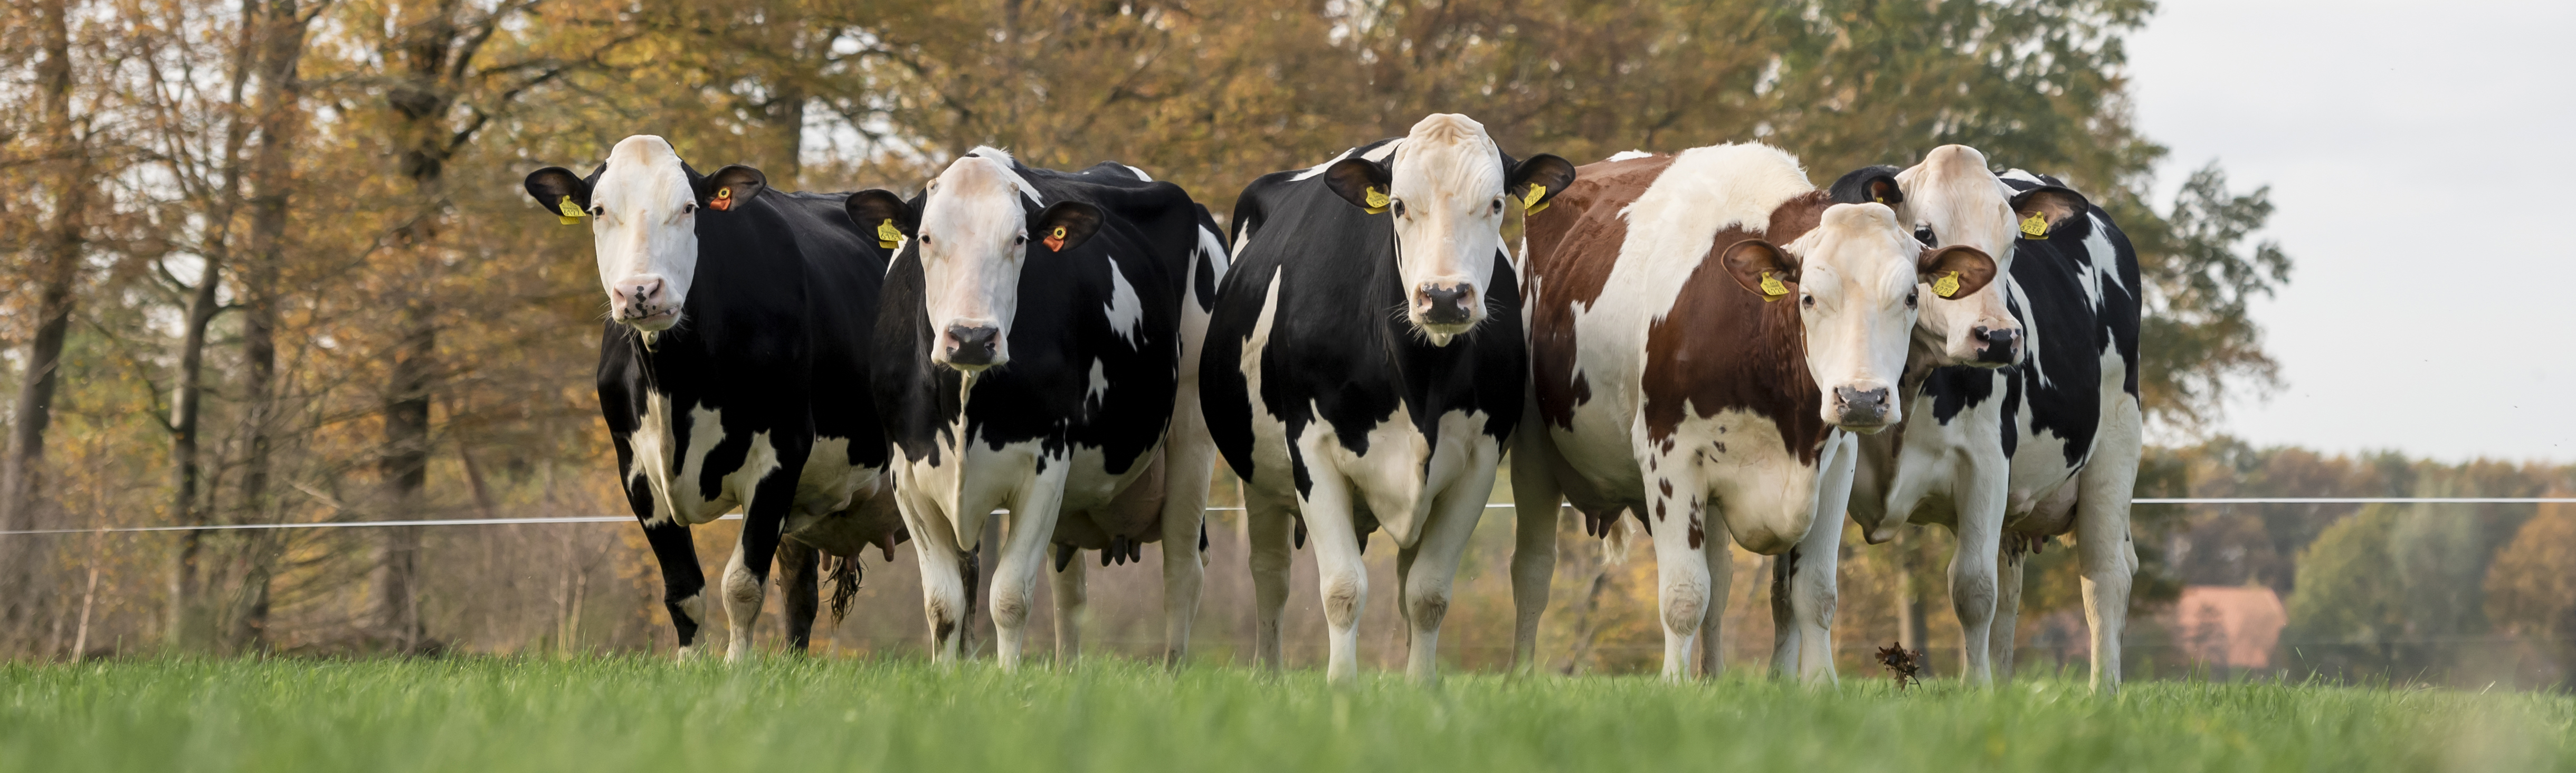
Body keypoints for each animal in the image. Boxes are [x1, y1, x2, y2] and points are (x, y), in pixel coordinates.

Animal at [520, 136, 907, 660]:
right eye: (598, 210)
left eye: (688, 208)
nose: (640, 290)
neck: (676, 386)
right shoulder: (636, 470)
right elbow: (684, 590)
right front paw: (688, 664)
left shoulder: (781, 453)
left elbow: (741, 585)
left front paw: (737, 666)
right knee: (800, 591)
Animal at [844, 148, 1226, 664]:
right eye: (924, 237)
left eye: (1020, 239)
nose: (971, 337)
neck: (963, 406)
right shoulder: (908, 475)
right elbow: (943, 604)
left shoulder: (1045, 468)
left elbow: (1009, 597)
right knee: (1070, 590)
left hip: (1192, 432)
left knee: (1183, 572)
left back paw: (1173, 668)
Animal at [1200, 113, 1566, 680]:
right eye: (1397, 206)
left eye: (1496, 203)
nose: (1443, 296)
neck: (1419, 382)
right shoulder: (1311, 450)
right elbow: (1342, 588)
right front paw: (1341, 685)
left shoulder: (1479, 462)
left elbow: (1428, 594)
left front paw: (1421, 687)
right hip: (1254, 469)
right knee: (1270, 573)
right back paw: (1268, 670)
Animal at [1504, 145, 1999, 680]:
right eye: (1808, 298)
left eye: (1910, 296)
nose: (1863, 398)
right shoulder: (1668, 456)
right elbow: (1683, 595)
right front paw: (1673, 685)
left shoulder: (1834, 464)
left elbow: (1813, 594)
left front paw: (1820, 684)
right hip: (1532, 452)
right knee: (1533, 569)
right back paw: (1519, 674)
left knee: (1720, 581)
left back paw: (1713, 676)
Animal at [1803, 141, 2164, 690]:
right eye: (1924, 233)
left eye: (2011, 242)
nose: (1997, 337)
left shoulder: (1986, 463)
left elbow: (1972, 589)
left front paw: (1975, 691)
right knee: (2011, 585)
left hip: (2117, 445)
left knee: (2105, 576)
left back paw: (2102, 691)